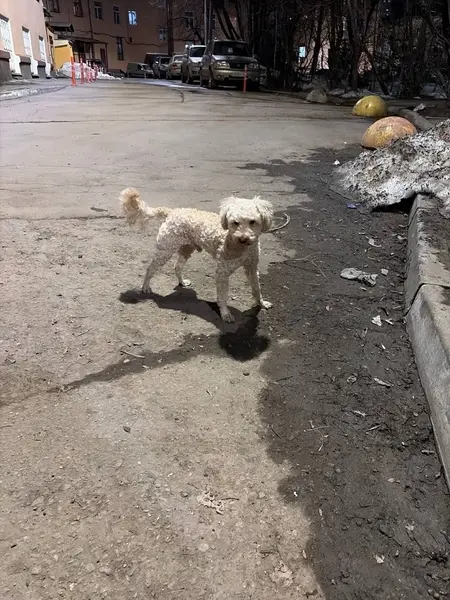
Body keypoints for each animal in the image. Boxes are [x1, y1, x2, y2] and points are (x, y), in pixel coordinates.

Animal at [120, 188, 274, 322]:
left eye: (253, 222)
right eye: (235, 223)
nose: (243, 238)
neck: (241, 247)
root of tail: (172, 211)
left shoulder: (252, 267)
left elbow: (256, 288)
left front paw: (261, 303)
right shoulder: (222, 272)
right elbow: (223, 296)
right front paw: (225, 314)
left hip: (187, 249)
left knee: (177, 266)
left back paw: (182, 281)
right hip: (165, 250)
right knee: (150, 268)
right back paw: (145, 286)